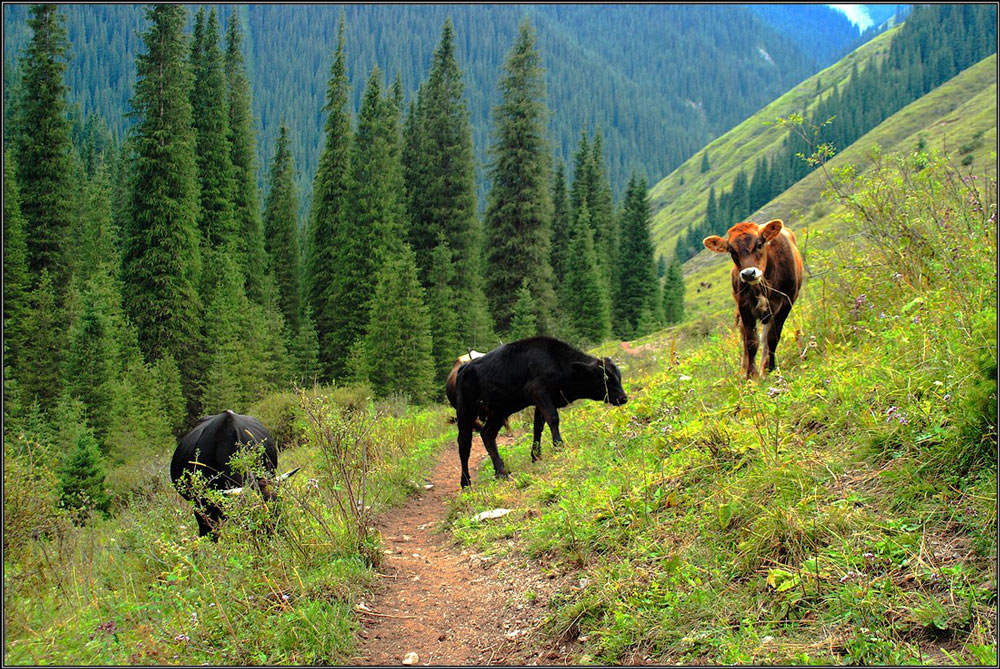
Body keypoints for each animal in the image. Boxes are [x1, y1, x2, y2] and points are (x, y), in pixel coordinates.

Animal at [452, 340, 624, 486]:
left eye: (618, 377)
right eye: (605, 378)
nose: (624, 397)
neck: (555, 360)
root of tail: (463, 369)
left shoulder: (542, 400)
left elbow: (538, 426)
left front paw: (536, 455)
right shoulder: (539, 391)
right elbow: (553, 418)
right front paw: (558, 446)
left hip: (499, 411)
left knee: (487, 435)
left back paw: (501, 472)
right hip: (466, 411)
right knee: (464, 443)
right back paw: (465, 482)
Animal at [704, 218, 804, 376]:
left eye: (759, 244)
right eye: (731, 251)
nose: (748, 273)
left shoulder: (786, 303)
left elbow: (772, 338)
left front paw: (770, 368)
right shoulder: (744, 306)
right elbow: (751, 342)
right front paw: (751, 375)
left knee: (765, 337)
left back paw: (764, 367)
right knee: (746, 336)